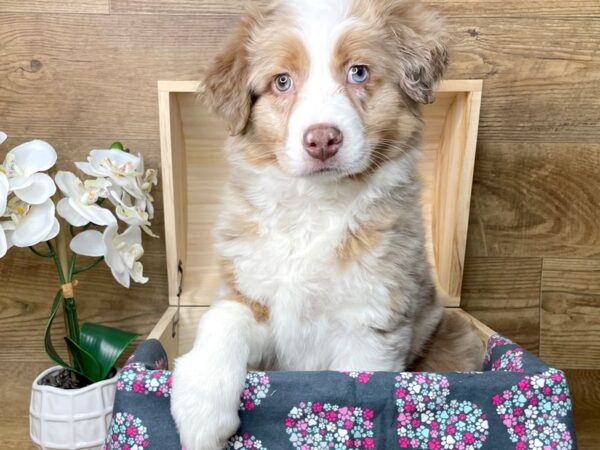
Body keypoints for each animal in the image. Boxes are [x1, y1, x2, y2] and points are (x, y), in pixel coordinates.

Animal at [171, 0, 480, 450]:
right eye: (282, 81)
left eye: (359, 72)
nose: (321, 140)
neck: (316, 205)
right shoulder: (253, 292)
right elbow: (222, 319)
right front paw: (200, 412)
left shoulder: (371, 325)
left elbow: (355, 386)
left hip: (452, 336)